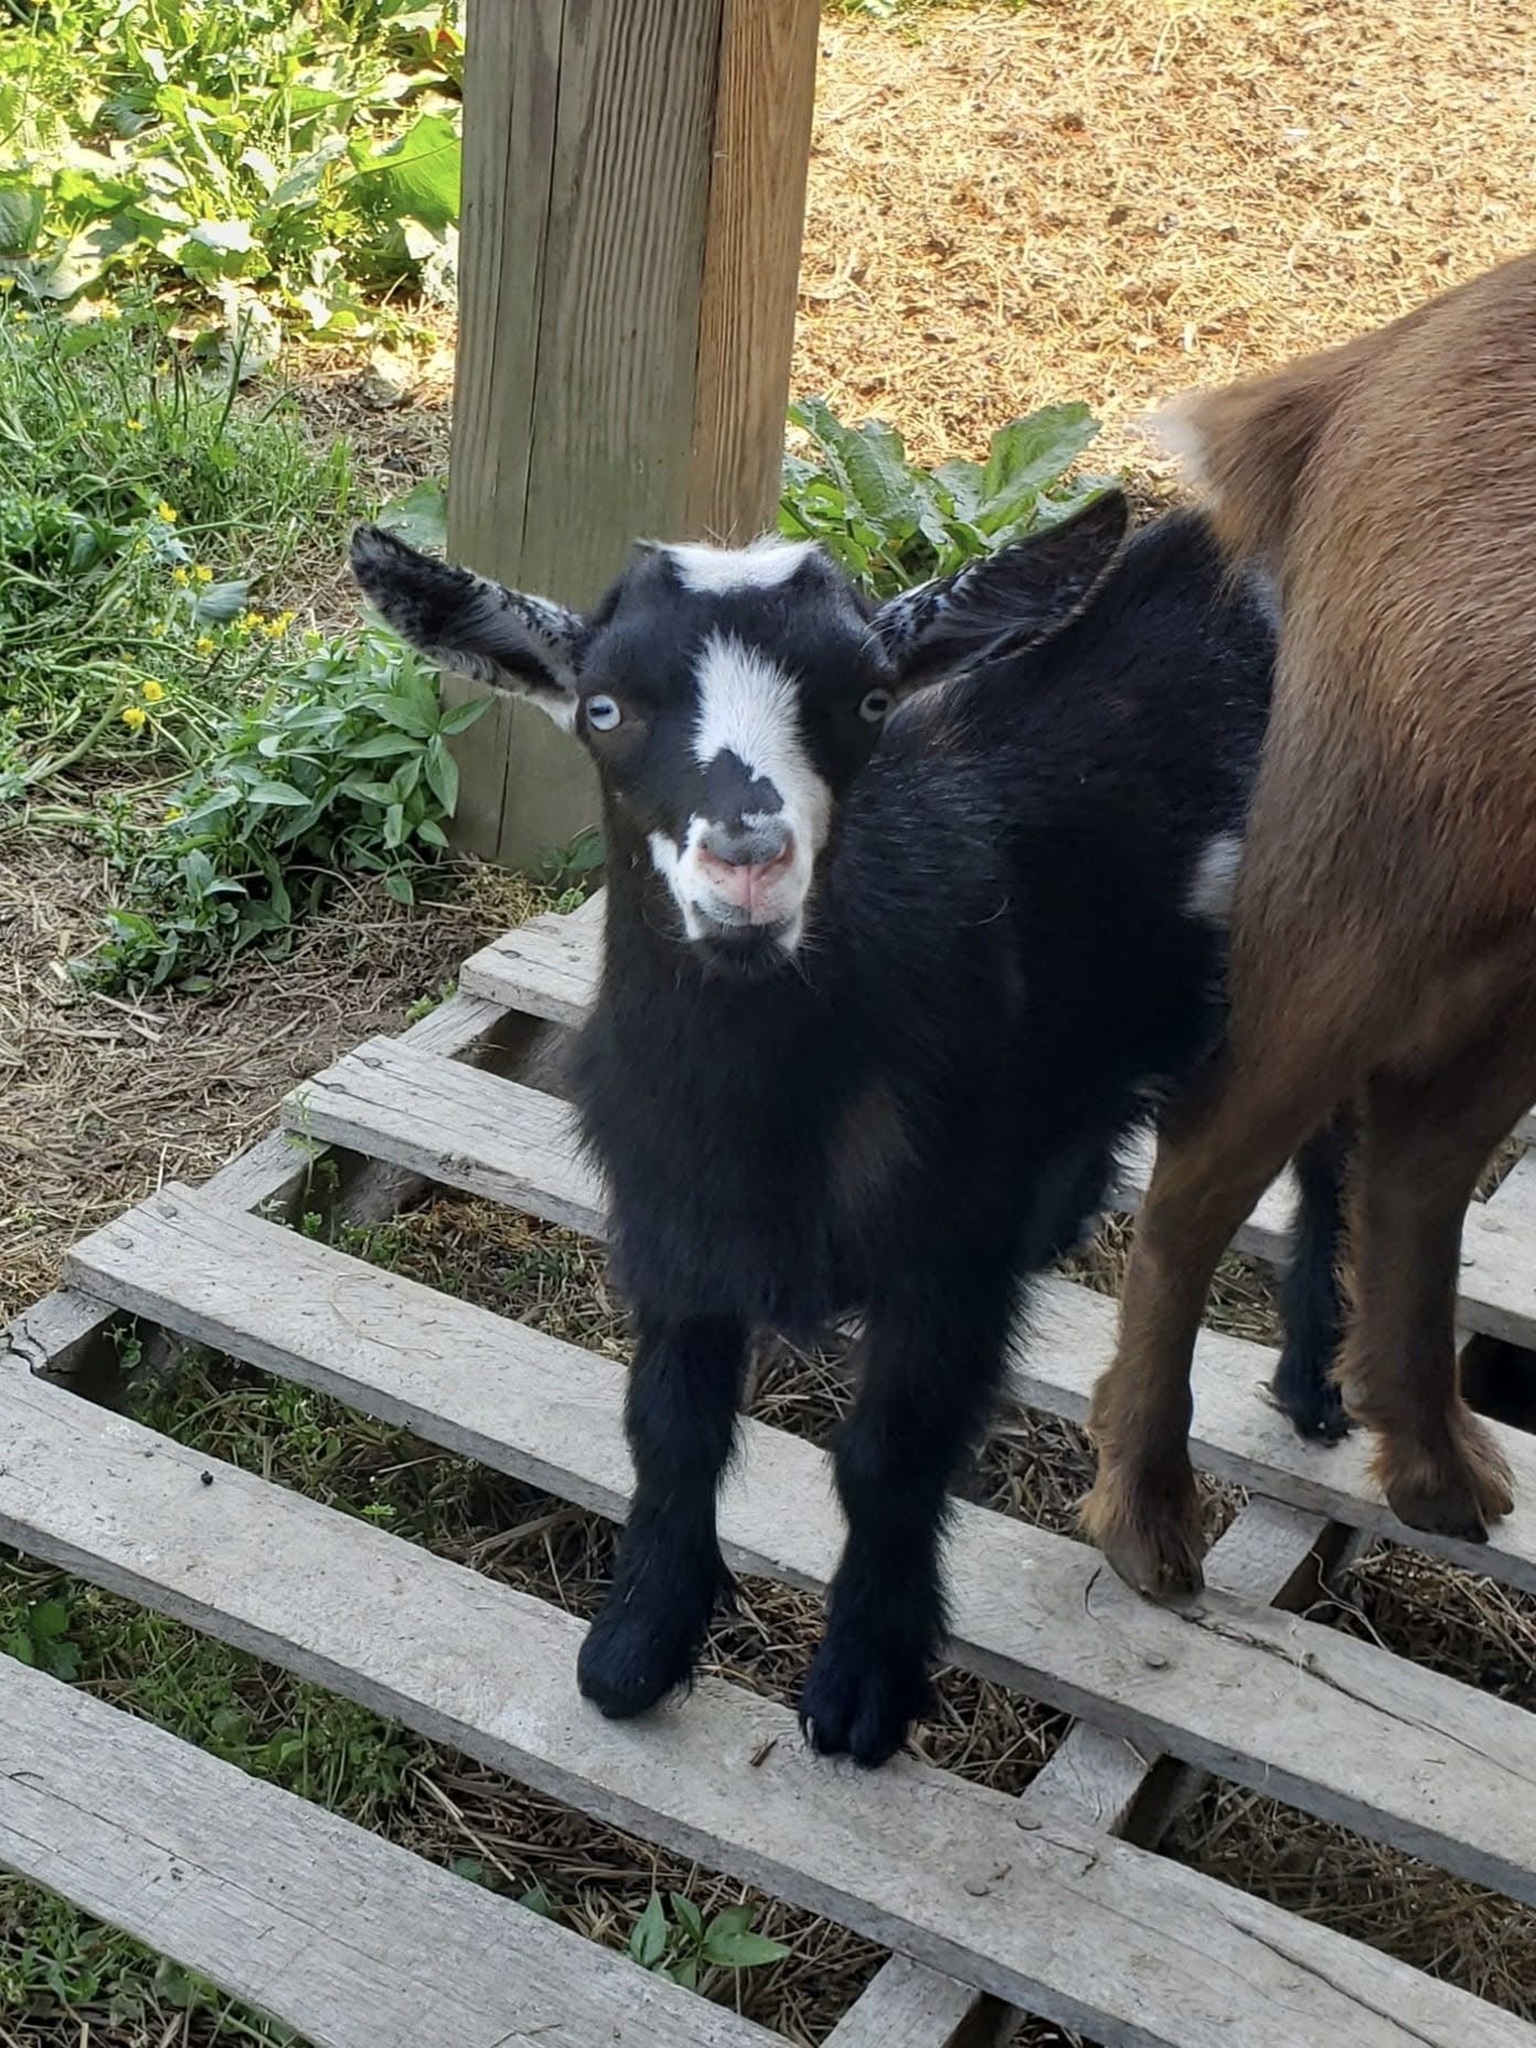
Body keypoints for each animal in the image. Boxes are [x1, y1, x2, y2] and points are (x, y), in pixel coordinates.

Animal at [351, 491, 1338, 1765]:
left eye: (870, 698)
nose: (747, 858)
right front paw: (636, 1646)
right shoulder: (671, 1224)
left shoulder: (946, 1257)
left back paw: (1316, 1381)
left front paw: (866, 1682)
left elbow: (889, 1457)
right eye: (605, 707)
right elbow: (667, 1427)